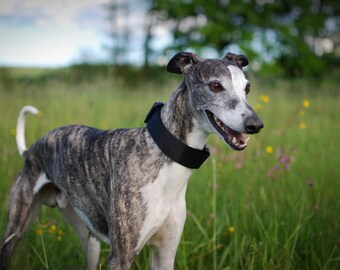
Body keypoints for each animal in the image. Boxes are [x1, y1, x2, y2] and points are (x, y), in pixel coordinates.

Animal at [0, 51, 262, 268]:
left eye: (247, 88)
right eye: (215, 85)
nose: (256, 125)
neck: (163, 158)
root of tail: (30, 150)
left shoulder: (165, 254)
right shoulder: (120, 257)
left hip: (89, 238)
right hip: (14, 231)